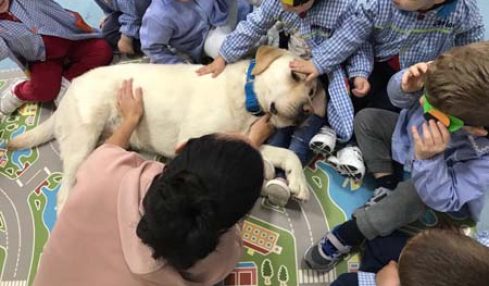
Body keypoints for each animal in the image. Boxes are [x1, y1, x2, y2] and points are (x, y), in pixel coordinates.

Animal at [7, 46, 326, 212]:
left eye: (312, 92)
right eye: (295, 75)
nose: (306, 112)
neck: (247, 100)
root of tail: (67, 93)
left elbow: (283, 152)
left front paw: (296, 181)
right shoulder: (192, 138)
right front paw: (271, 173)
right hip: (83, 139)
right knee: (65, 193)